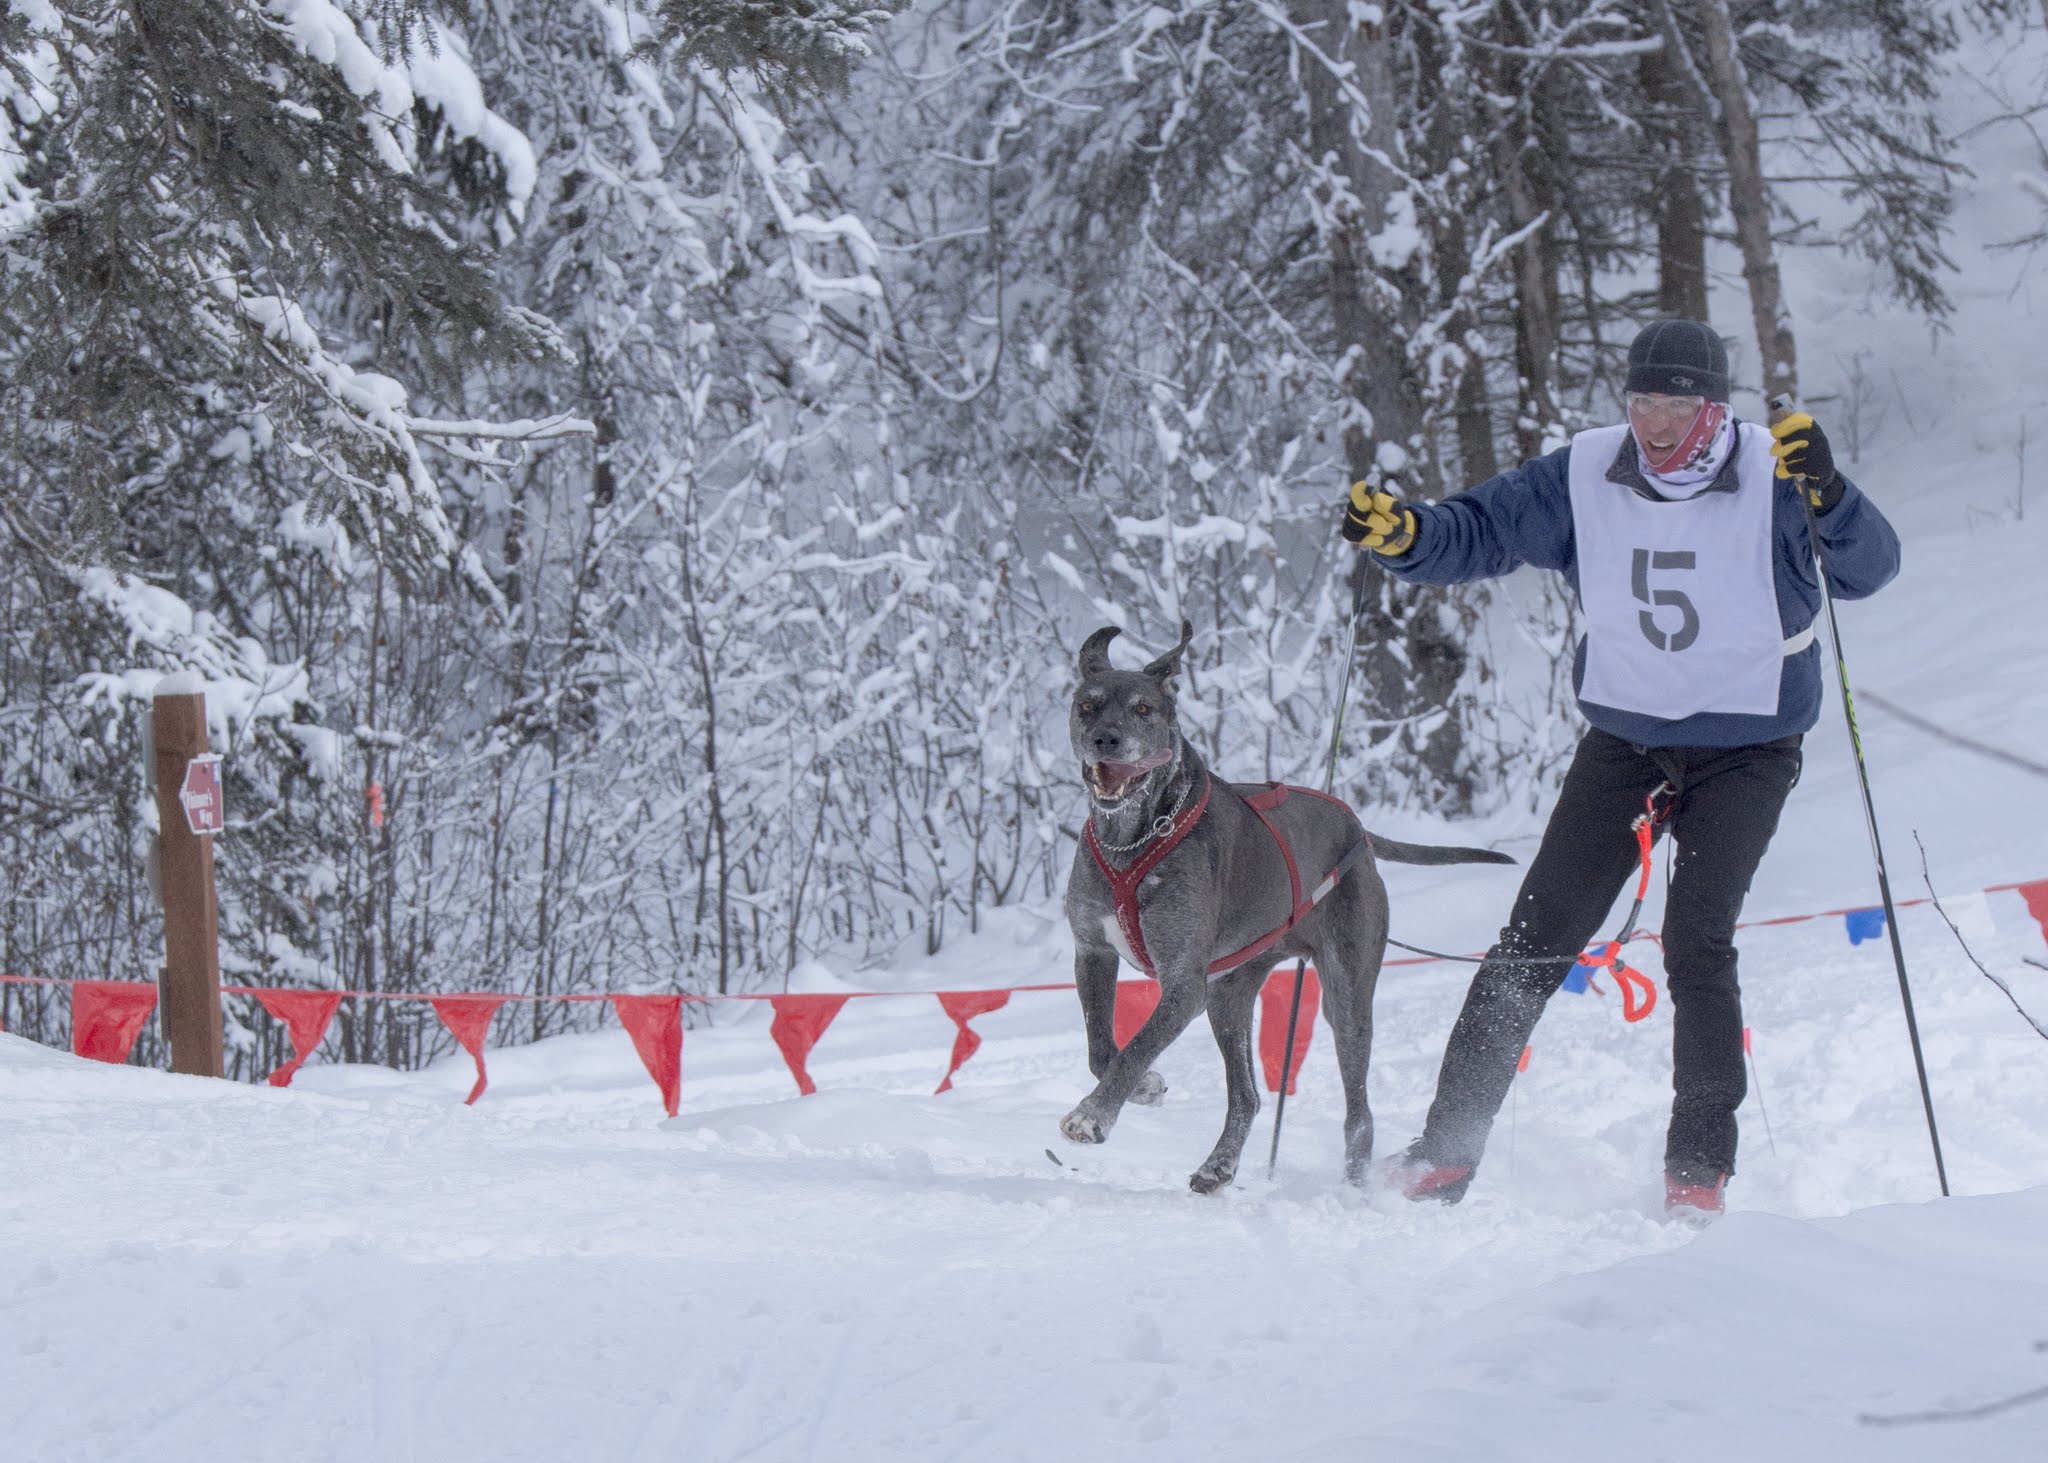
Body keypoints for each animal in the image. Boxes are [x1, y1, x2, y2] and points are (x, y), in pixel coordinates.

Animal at [1064, 622, 1515, 1188]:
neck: (1133, 838)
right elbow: (1103, 1049)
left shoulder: (1183, 984)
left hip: (1345, 996)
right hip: (1229, 997)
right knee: (1249, 1097)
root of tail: (1358, 830)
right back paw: (1219, 1165)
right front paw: (1142, 1086)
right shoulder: (1093, 952)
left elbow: (1134, 1047)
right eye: (1088, 706)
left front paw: (1093, 1115)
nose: (1106, 738)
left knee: (1359, 1113)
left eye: (1143, 708)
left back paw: (1355, 1189)